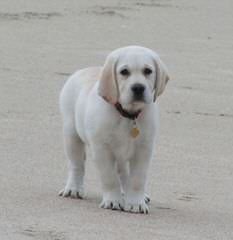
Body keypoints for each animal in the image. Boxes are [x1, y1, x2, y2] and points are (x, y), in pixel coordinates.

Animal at [59, 45, 169, 214]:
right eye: (124, 72)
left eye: (148, 71)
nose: (138, 88)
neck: (128, 115)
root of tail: (83, 70)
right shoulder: (102, 150)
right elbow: (109, 178)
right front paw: (113, 201)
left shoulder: (144, 150)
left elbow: (137, 179)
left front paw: (136, 203)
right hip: (71, 135)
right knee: (76, 165)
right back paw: (73, 189)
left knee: (123, 173)